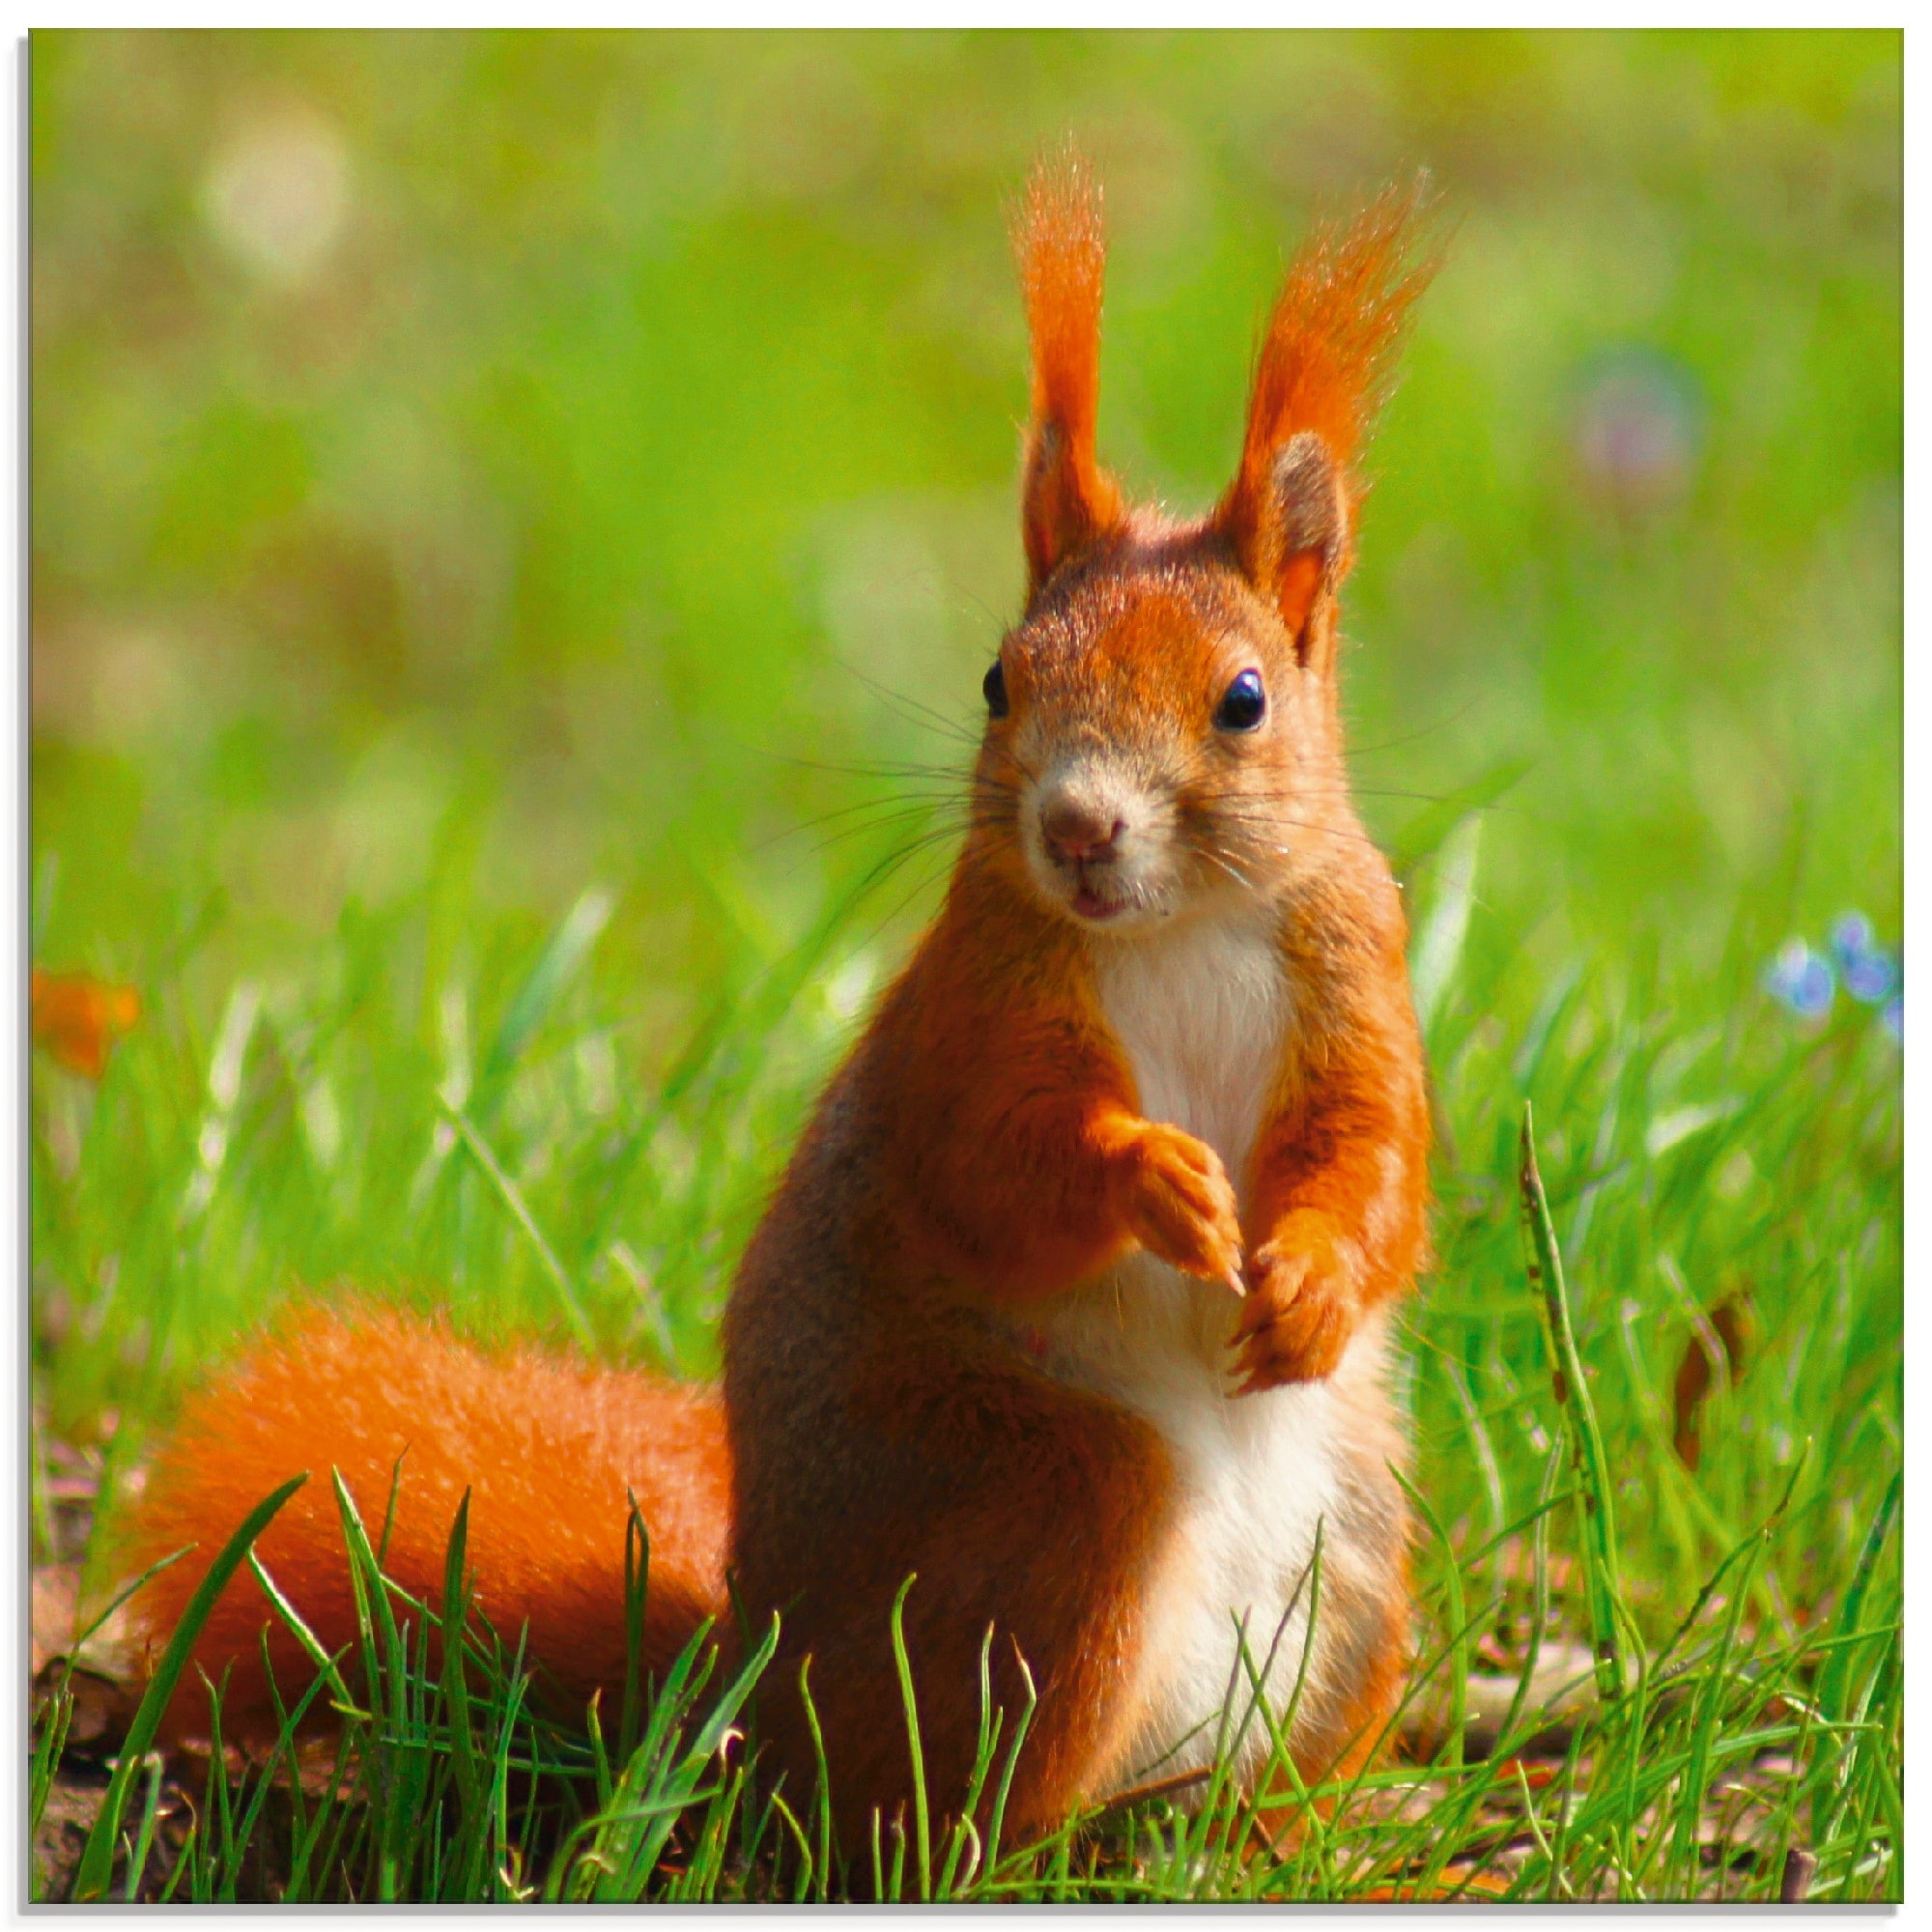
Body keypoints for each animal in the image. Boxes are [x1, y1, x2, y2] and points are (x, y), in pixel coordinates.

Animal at [128, 162, 1437, 1855]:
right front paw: (1151, 1177)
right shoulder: (973, 1013)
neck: (1184, 926)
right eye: (1003, 679)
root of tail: (743, 1683)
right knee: (937, 1796)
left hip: (1360, 1559)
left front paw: (1318, 1280)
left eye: (1244, 701)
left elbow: (1377, 1163)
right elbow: (990, 1165)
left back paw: (1292, 1837)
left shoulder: (1357, 977)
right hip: (1047, 1504)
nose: (1078, 830)